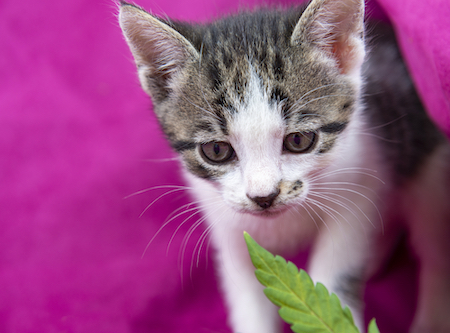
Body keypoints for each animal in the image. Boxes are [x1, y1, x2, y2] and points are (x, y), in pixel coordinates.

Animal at [119, 0, 450, 330]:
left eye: (299, 140)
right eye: (216, 150)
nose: (264, 197)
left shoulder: (359, 182)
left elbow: (335, 276)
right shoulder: (226, 223)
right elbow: (248, 300)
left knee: (435, 253)